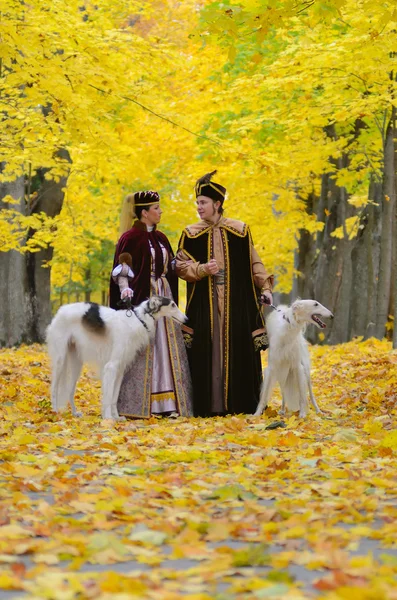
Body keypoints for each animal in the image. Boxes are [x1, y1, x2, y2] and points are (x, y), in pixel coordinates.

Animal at [46, 294, 187, 418]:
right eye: (173, 305)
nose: (187, 319)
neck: (139, 320)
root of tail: (60, 311)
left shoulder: (120, 368)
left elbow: (114, 397)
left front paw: (117, 417)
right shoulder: (111, 366)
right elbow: (108, 397)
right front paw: (108, 419)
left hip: (76, 363)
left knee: (70, 390)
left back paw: (75, 413)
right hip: (60, 359)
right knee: (54, 388)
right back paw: (54, 411)